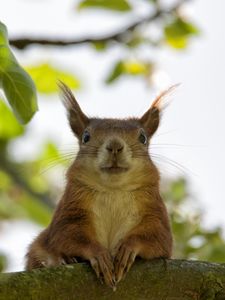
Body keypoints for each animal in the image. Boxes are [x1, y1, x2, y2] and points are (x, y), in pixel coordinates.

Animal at [25, 81, 173, 288]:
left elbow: (159, 239)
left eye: (143, 138)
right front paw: (99, 254)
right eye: (86, 137)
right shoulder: (70, 211)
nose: (115, 146)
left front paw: (128, 248)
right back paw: (66, 260)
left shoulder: (155, 213)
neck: (113, 190)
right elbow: (66, 236)